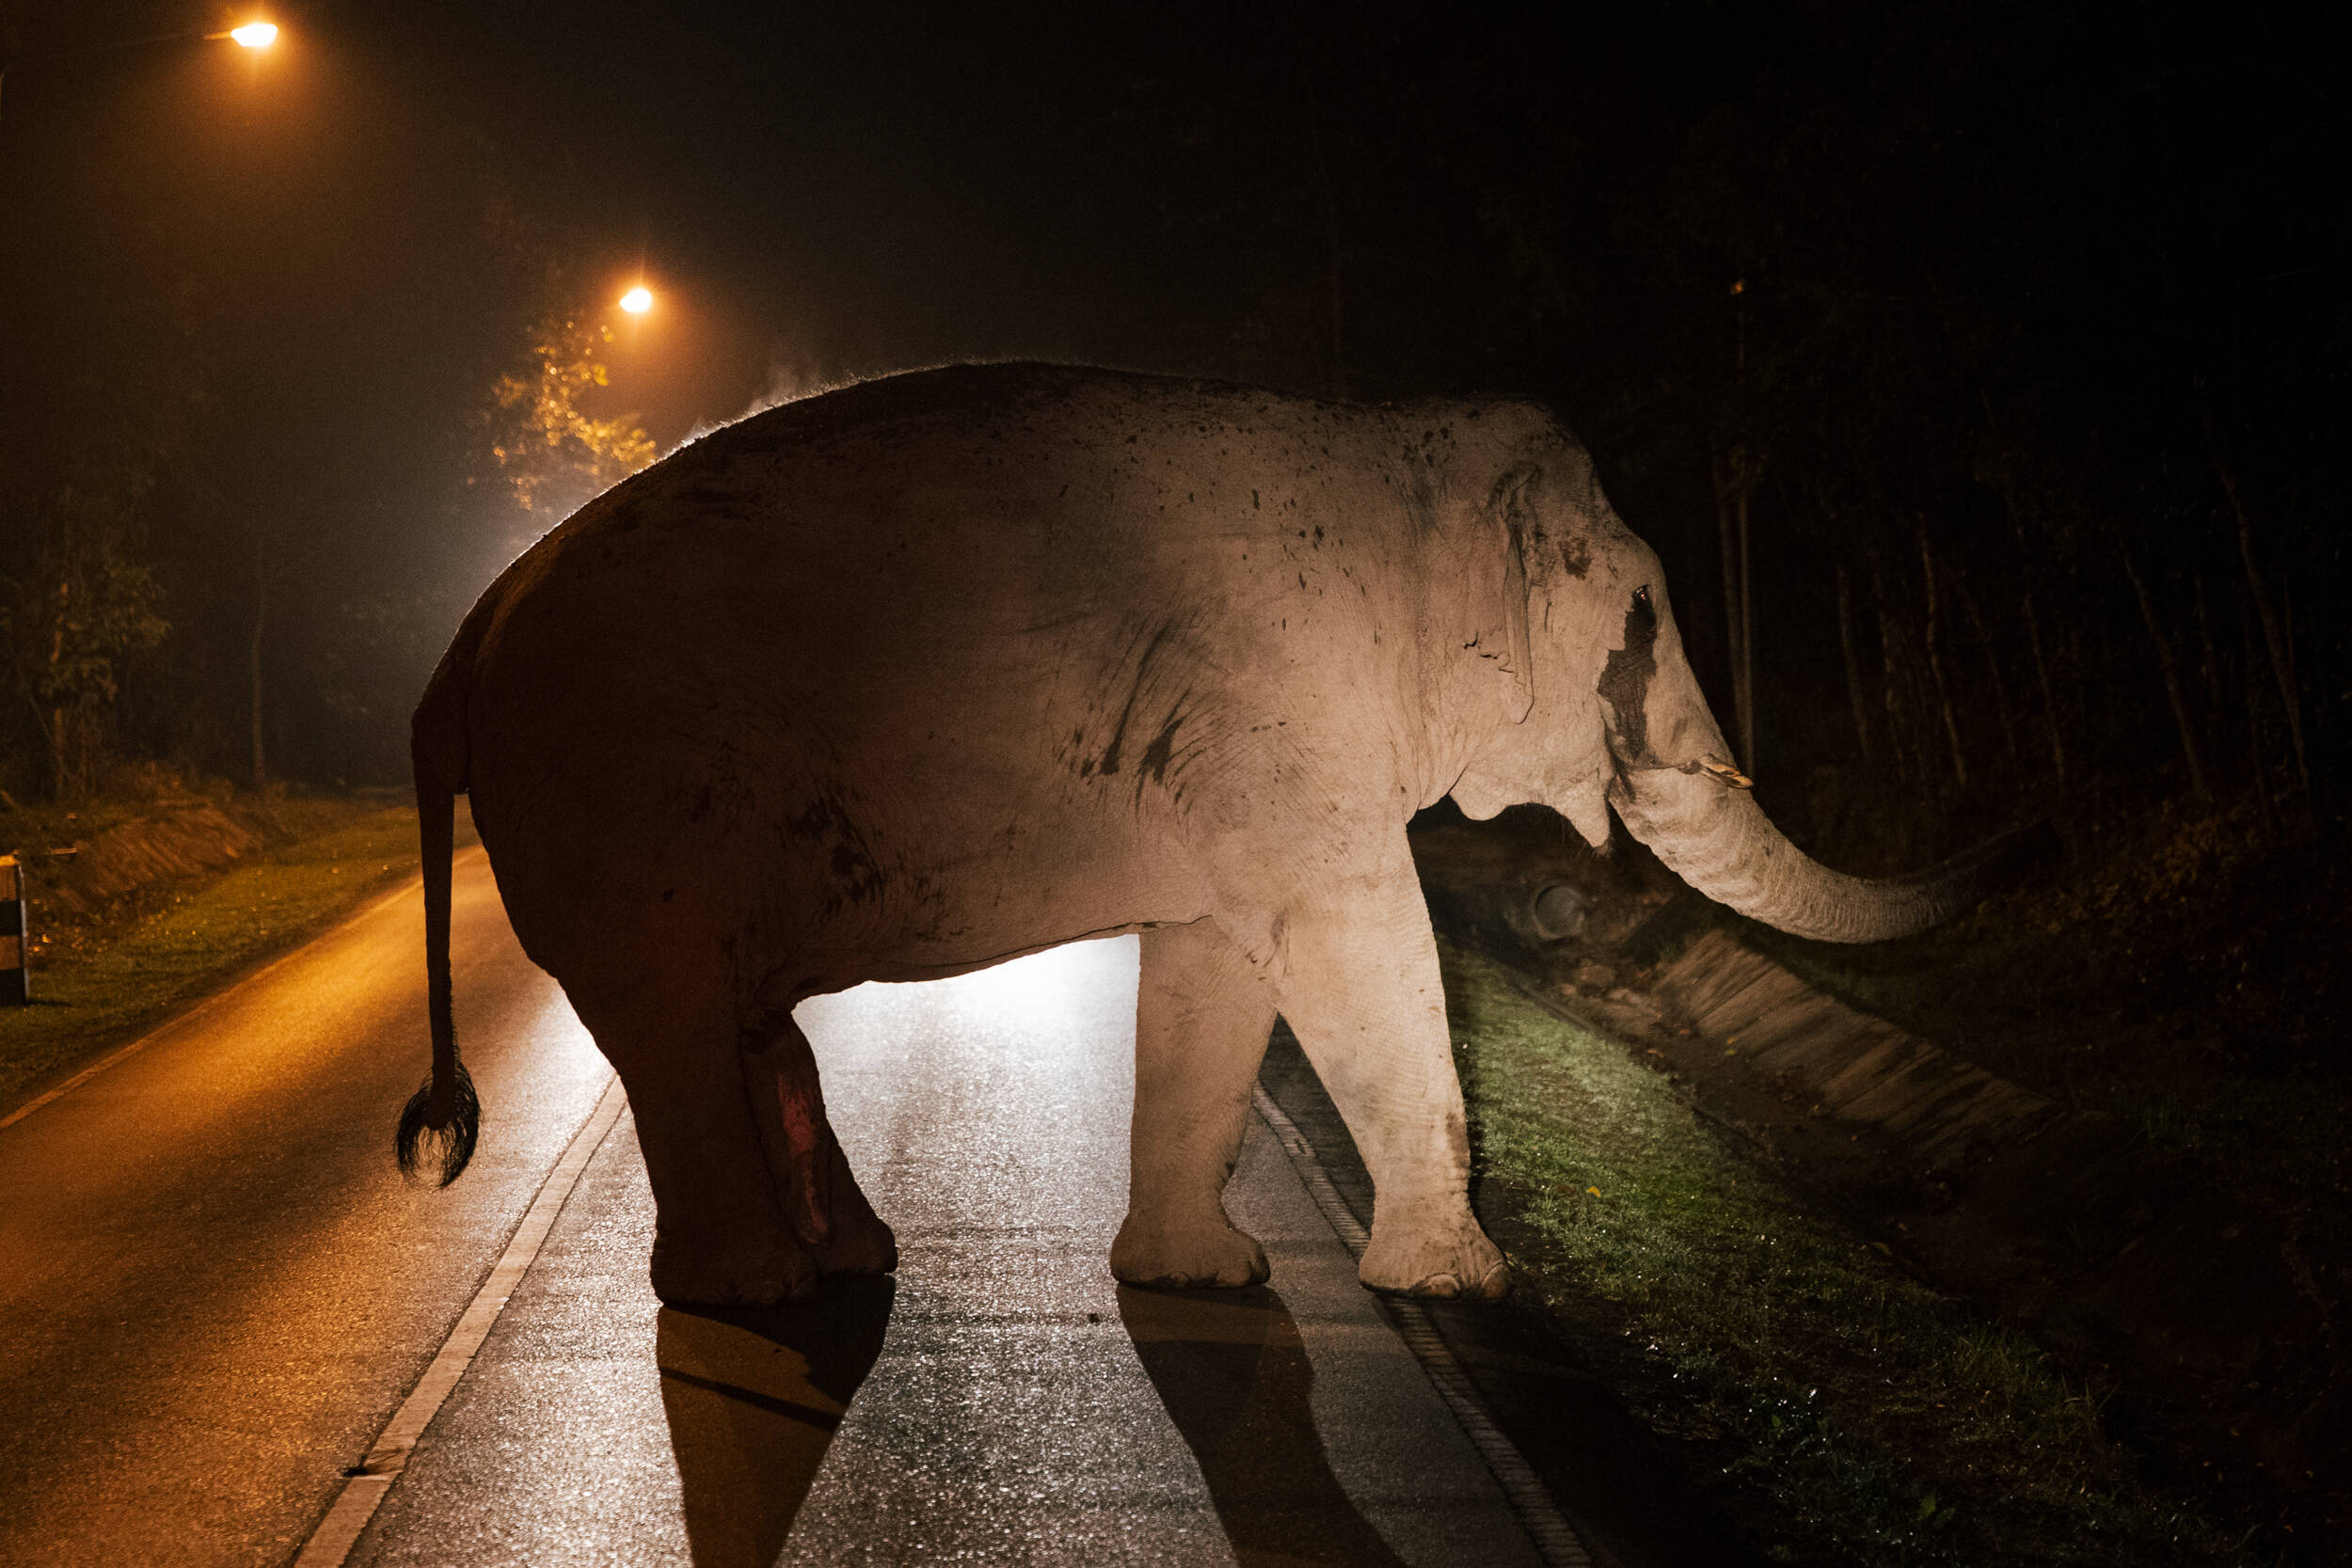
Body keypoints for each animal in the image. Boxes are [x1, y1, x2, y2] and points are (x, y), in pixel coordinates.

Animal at [400, 362, 2003, 1307]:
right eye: (1645, 618)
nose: (2004, 834)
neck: (1397, 445)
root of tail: (461, 641)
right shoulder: (1285, 717)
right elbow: (1361, 942)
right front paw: (1464, 1288)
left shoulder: (1222, 754)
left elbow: (1218, 972)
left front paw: (1205, 1280)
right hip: (614, 808)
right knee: (676, 1019)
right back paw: (760, 1295)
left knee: (737, 1021)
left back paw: (842, 1260)